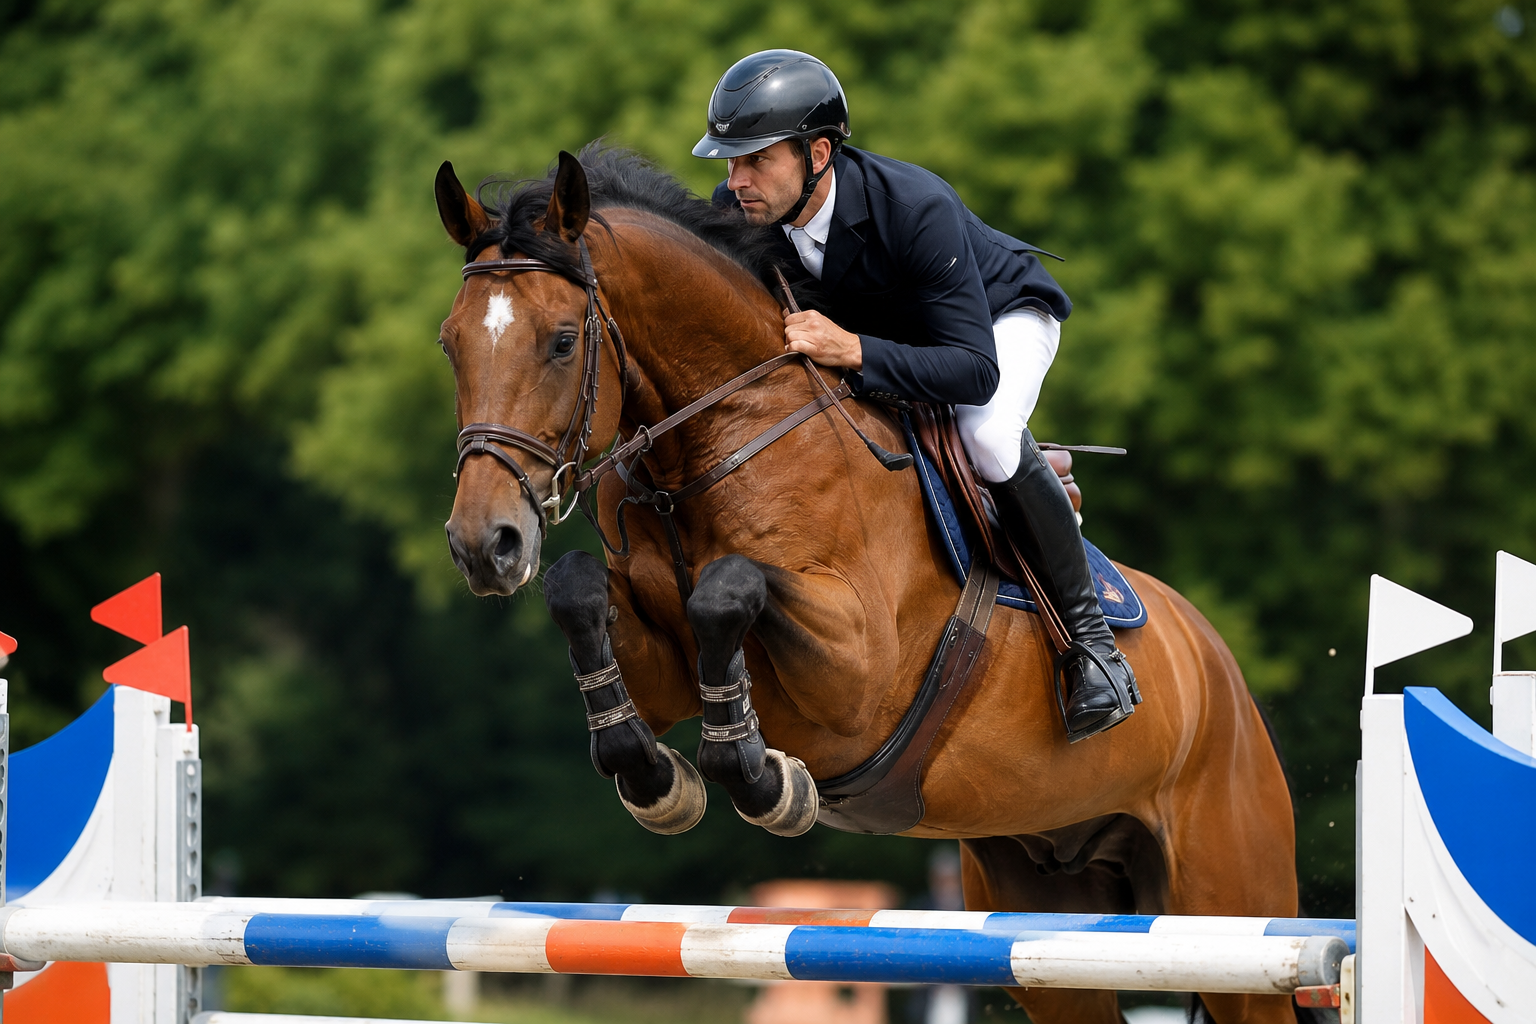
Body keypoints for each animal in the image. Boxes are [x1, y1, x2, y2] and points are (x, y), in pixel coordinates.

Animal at [433, 145, 1299, 1024]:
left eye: (561, 341)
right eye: (449, 344)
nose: (484, 544)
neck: (712, 445)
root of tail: (1219, 668)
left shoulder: (858, 676)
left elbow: (728, 587)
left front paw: (766, 780)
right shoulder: (661, 661)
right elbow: (577, 589)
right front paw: (657, 779)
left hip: (1230, 906)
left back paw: (1098, 678)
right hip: (1047, 924)